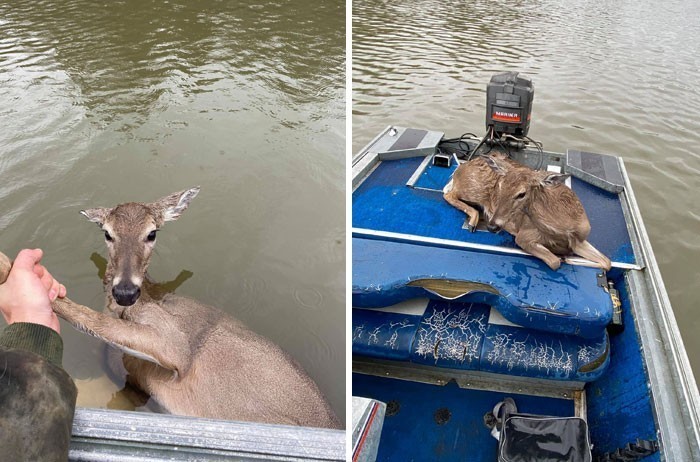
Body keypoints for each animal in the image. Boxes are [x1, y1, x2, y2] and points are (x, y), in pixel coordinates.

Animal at [23, 188, 340, 430]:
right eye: (107, 233)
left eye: (152, 233)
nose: (125, 291)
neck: (149, 299)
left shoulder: (176, 347)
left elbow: (100, 325)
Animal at [442, 155, 612, 270]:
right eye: (500, 186)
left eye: (521, 194)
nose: (492, 227)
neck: (562, 229)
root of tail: (460, 168)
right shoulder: (523, 237)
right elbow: (554, 262)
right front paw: (564, 258)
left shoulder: (578, 240)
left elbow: (607, 262)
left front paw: (570, 258)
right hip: (474, 189)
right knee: (448, 194)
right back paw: (473, 221)